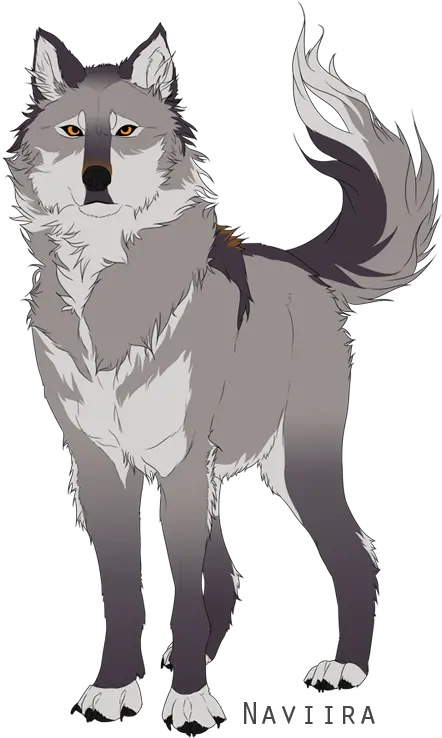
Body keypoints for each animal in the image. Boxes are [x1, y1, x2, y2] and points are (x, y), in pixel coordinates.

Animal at [9, 25, 437, 726]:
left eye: (125, 130)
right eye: (72, 131)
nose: (96, 179)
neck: (110, 284)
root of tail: (304, 269)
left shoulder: (178, 461)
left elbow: (182, 588)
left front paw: (187, 700)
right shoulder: (101, 467)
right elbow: (125, 591)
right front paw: (116, 687)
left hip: (293, 468)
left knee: (357, 555)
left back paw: (344, 668)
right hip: (217, 477)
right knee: (230, 573)